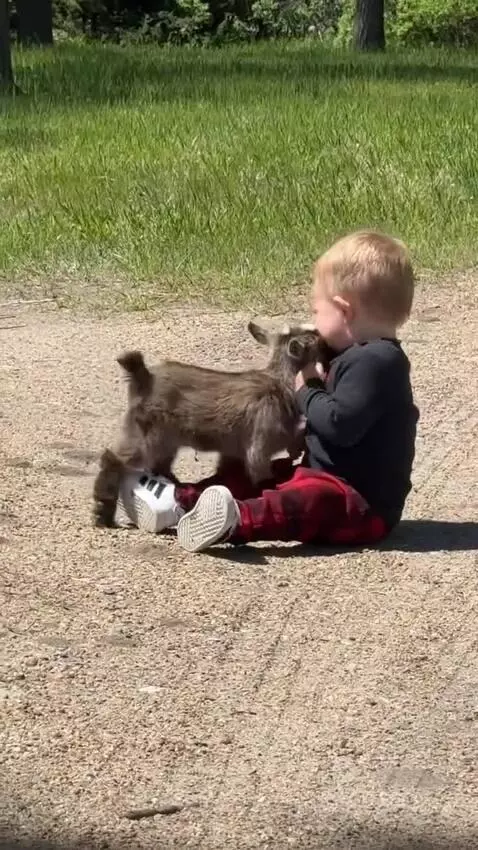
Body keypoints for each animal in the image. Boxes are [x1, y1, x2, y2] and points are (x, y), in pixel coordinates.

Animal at [93, 320, 330, 527]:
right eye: (312, 336)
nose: (323, 336)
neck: (280, 385)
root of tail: (144, 377)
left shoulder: (233, 451)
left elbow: (225, 471)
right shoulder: (260, 442)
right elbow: (261, 475)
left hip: (162, 440)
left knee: (159, 466)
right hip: (146, 434)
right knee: (114, 458)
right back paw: (102, 510)